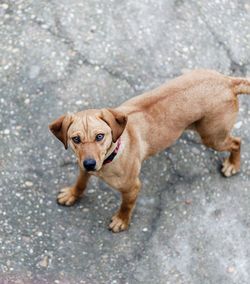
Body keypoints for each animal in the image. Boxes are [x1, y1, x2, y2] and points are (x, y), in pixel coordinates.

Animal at [48, 70, 250, 232]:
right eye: (76, 139)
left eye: (99, 136)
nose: (90, 164)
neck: (111, 155)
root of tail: (227, 81)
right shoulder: (82, 169)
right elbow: (81, 183)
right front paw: (72, 194)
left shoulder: (132, 187)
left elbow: (126, 206)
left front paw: (122, 220)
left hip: (213, 137)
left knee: (237, 142)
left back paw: (233, 164)